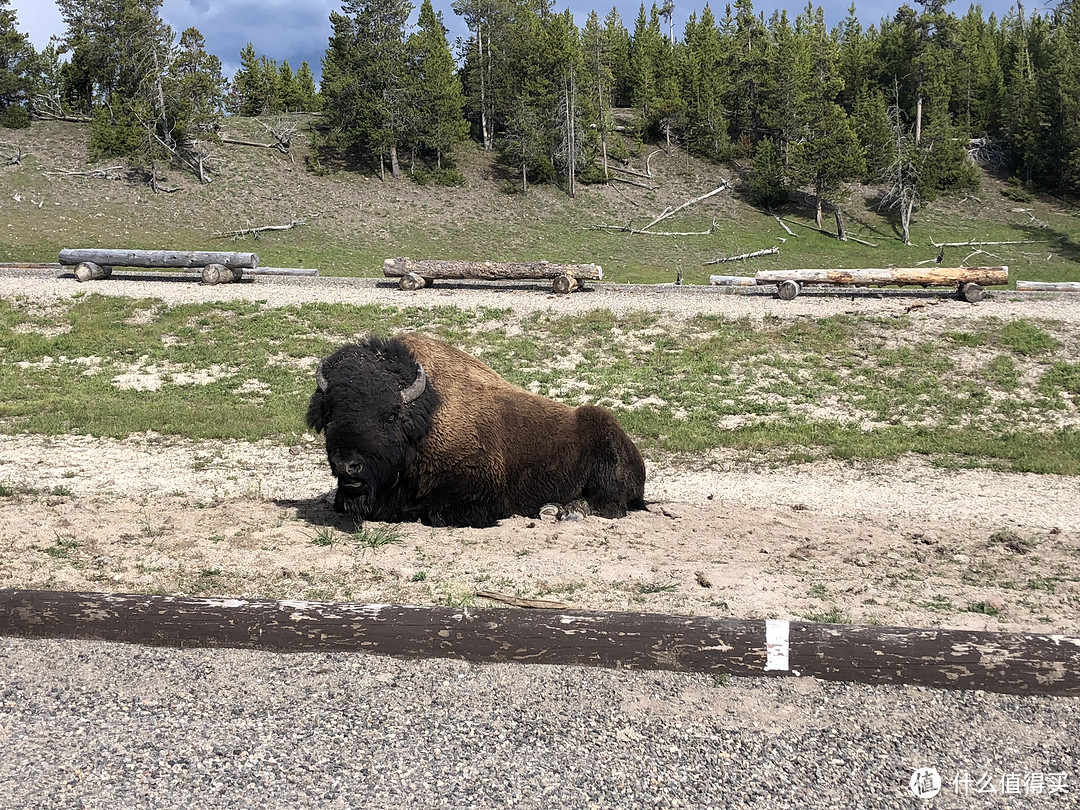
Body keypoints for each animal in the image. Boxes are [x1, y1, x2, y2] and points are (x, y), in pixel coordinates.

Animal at [304, 332, 639, 529]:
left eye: (390, 416)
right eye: (330, 414)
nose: (347, 465)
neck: (424, 416)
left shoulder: (480, 494)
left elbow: (434, 513)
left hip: (605, 451)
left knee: (609, 506)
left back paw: (569, 511)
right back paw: (552, 509)